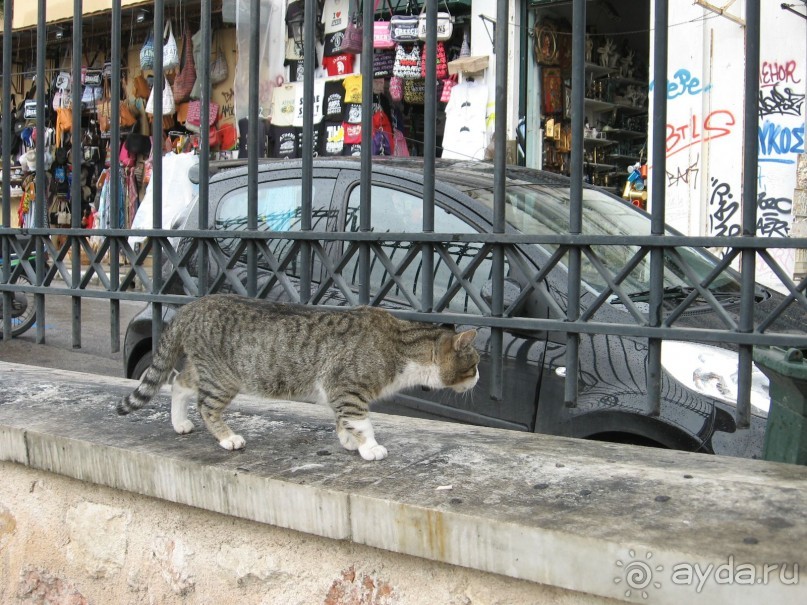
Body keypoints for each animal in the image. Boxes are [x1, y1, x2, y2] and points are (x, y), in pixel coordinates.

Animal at [120, 294, 480, 460]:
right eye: (475, 363)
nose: (478, 379)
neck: (401, 346)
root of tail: (192, 306)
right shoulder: (348, 387)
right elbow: (361, 421)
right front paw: (370, 447)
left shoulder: (339, 392)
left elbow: (344, 420)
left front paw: (348, 440)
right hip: (223, 378)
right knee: (206, 406)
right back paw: (227, 438)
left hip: (206, 369)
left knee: (178, 382)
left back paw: (180, 422)